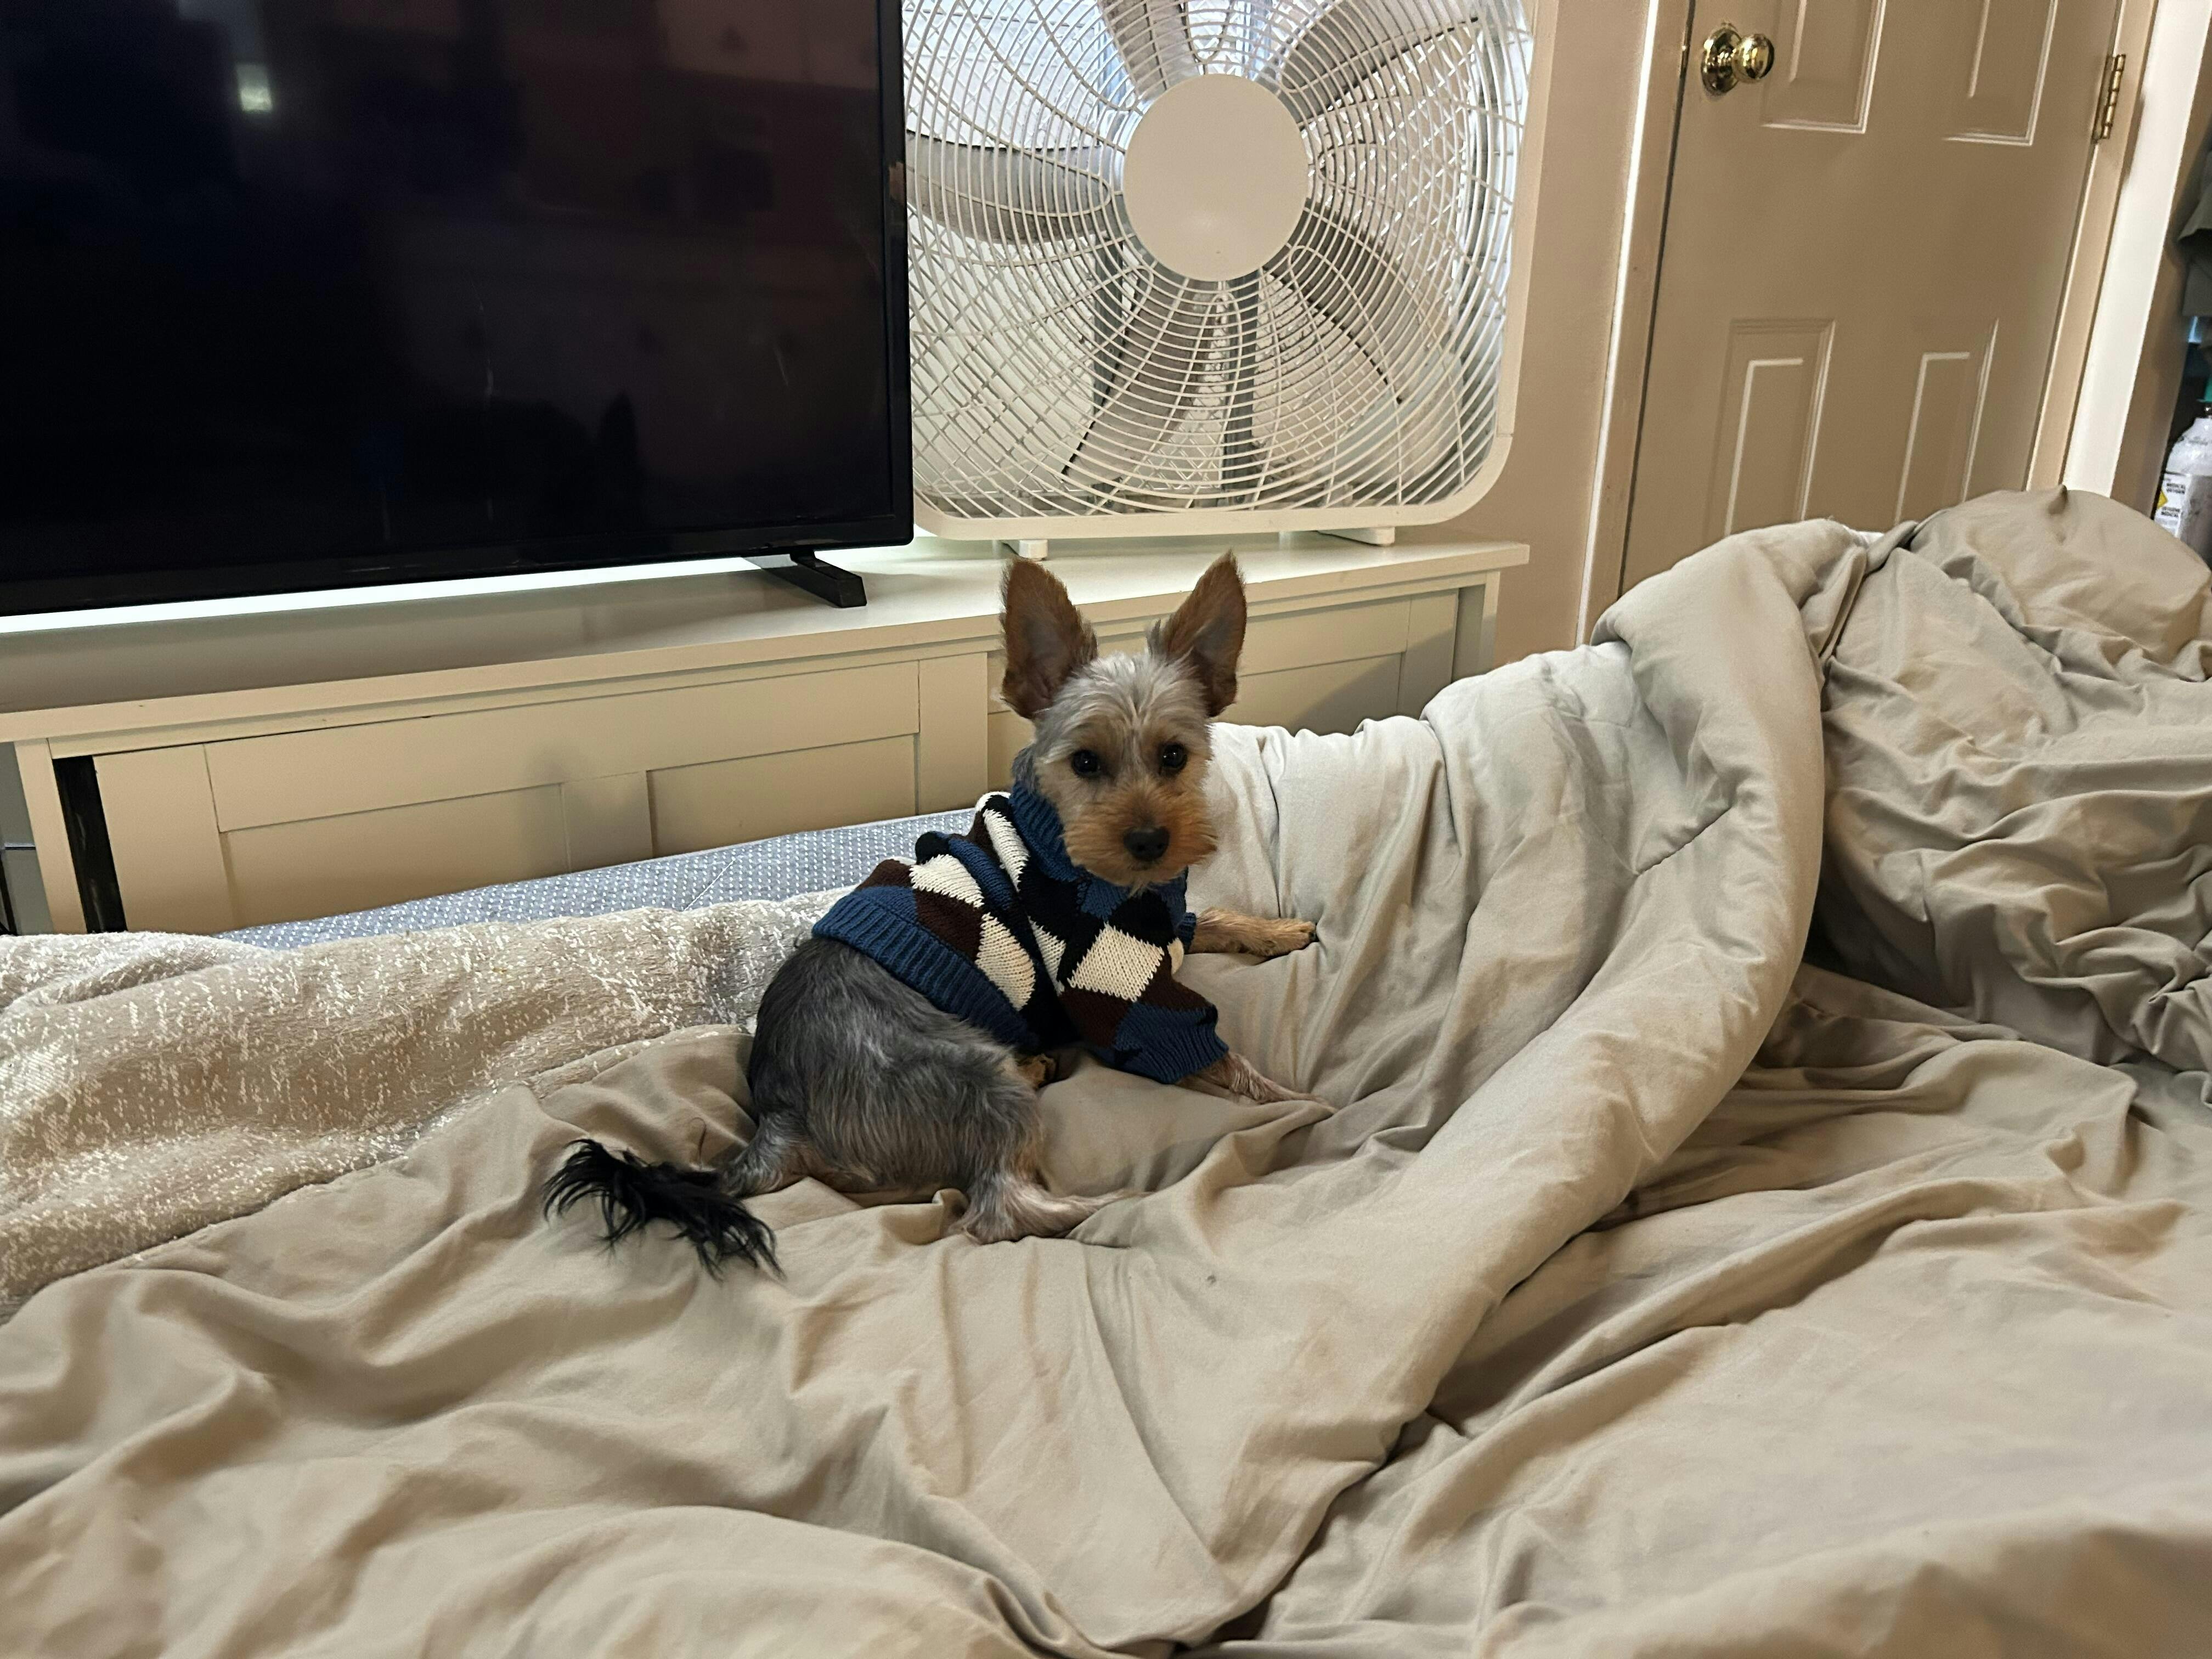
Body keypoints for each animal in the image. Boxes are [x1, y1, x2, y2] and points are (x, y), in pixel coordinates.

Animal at [545, 552, 1315, 1271]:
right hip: (975, 1075)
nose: (1150, 842)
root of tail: (780, 1112)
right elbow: (1216, 1059)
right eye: (1086, 763)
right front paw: (1296, 1104)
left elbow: (1216, 918)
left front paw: (1280, 930)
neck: (1111, 876)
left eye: (1175, 756)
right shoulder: (1115, 993)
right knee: (999, 1208)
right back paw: (1115, 1199)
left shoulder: (1165, 924)